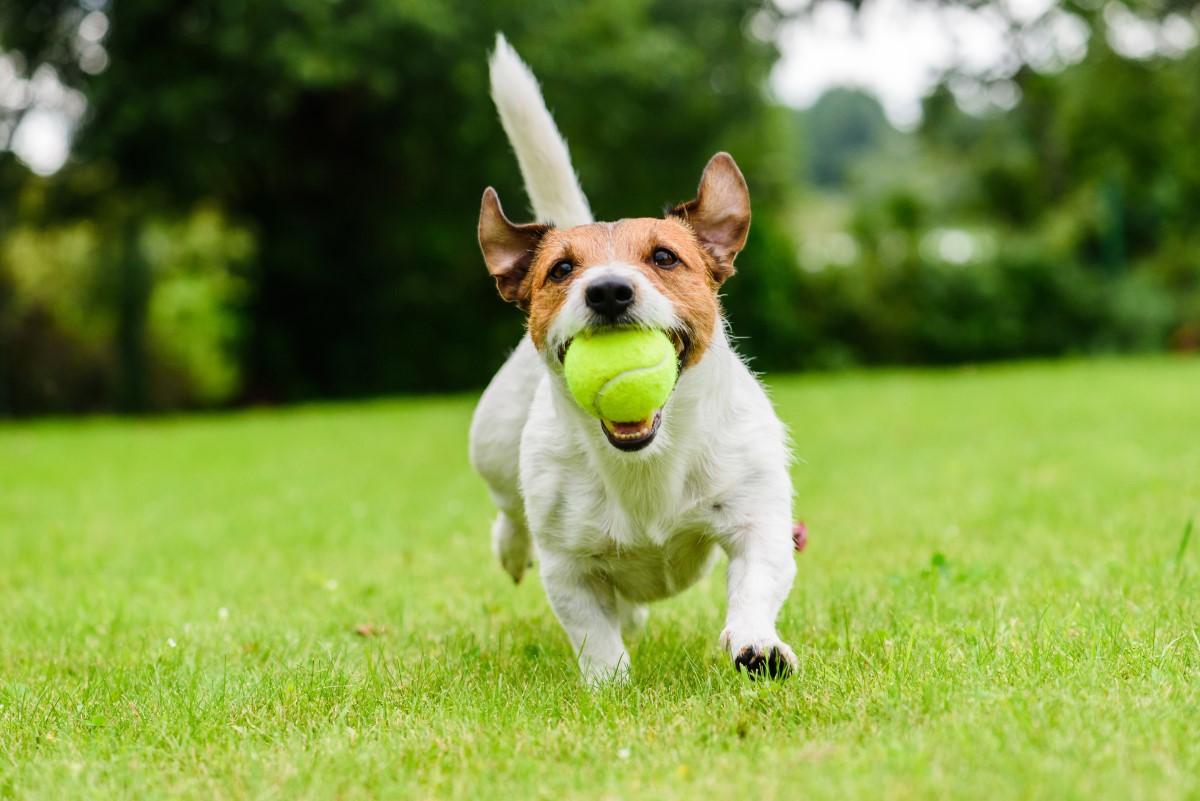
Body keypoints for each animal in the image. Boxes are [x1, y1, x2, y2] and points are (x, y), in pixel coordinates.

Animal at [468, 35, 796, 690]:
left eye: (665, 257)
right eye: (561, 270)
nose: (608, 291)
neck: (645, 463)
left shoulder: (759, 519)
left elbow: (754, 586)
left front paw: (757, 646)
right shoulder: (567, 564)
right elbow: (590, 630)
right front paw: (609, 684)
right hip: (491, 447)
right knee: (509, 513)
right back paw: (512, 548)